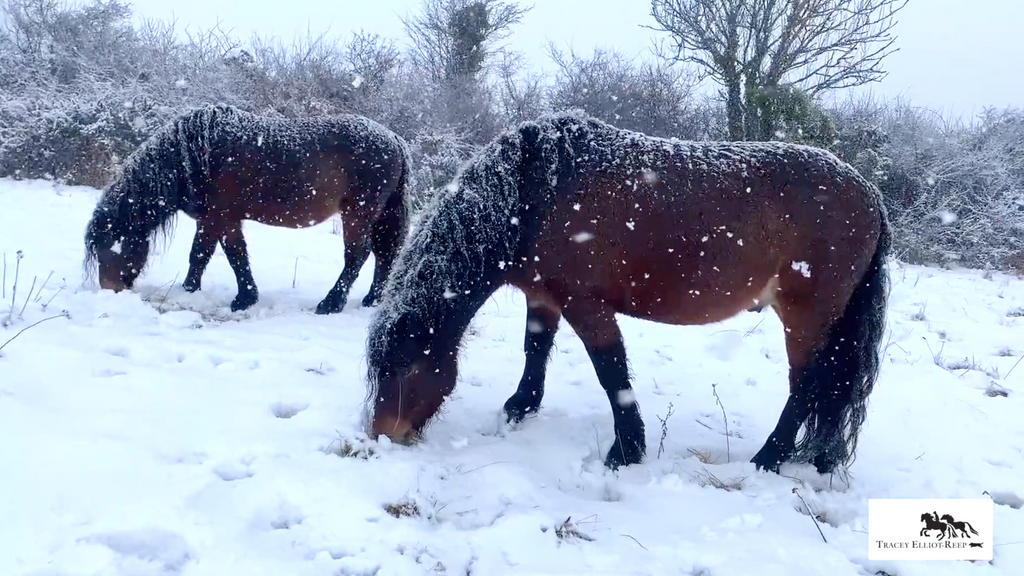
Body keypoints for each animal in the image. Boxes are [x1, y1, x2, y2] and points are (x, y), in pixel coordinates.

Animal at [83, 100, 409, 311]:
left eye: (110, 247)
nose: (110, 290)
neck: (192, 156)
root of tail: (394, 139)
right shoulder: (213, 220)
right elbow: (206, 255)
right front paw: (195, 290)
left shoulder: (222, 218)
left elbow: (227, 255)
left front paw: (241, 300)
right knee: (383, 254)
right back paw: (372, 299)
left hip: (357, 213)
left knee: (358, 254)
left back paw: (331, 303)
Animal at [364, 108, 892, 475]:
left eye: (405, 365)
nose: (384, 437)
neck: (537, 192)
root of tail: (869, 192)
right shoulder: (543, 297)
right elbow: (535, 348)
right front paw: (521, 407)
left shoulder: (585, 304)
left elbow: (611, 372)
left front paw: (626, 450)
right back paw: (816, 458)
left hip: (805, 316)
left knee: (807, 385)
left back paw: (769, 458)